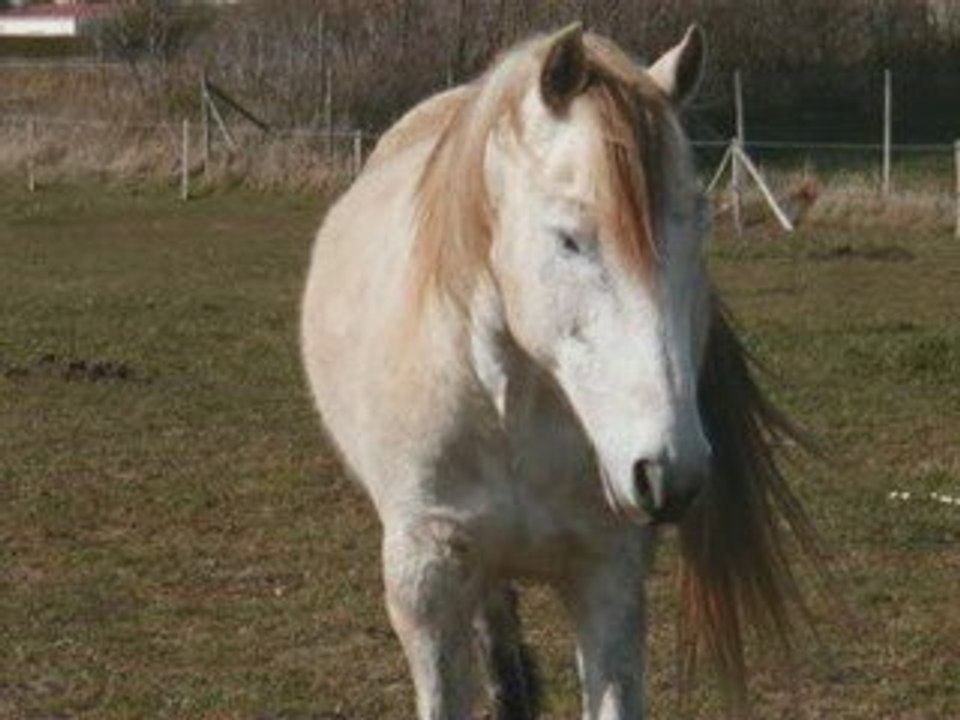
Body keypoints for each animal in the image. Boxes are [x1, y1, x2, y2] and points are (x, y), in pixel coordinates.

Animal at [301, 24, 818, 720]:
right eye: (570, 239)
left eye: (699, 226)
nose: (671, 470)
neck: (512, 412)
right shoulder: (426, 581)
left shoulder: (609, 575)